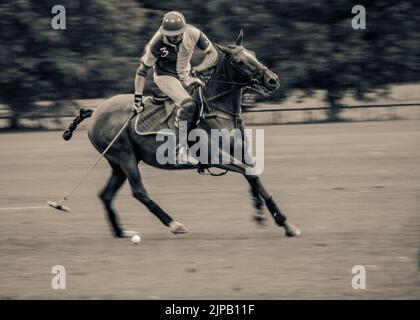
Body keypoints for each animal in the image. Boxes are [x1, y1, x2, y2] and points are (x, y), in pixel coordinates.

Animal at [64, 30, 300, 238]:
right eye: (240, 61)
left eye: (253, 53)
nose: (272, 80)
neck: (220, 109)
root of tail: (96, 111)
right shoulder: (214, 156)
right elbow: (250, 174)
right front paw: (284, 222)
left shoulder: (240, 152)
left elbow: (253, 175)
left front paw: (262, 215)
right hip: (124, 156)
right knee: (139, 192)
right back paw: (174, 225)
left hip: (117, 163)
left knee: (106, 194)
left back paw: (121, 232)